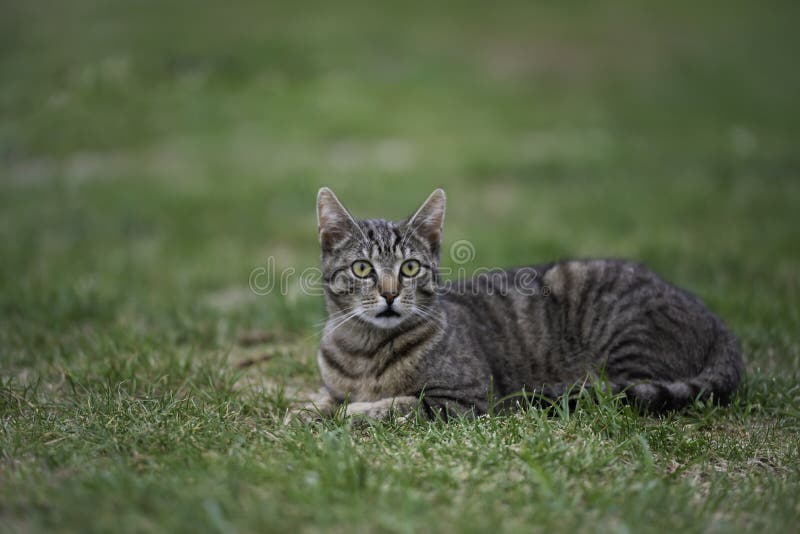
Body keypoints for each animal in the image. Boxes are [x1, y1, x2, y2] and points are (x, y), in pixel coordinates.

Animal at [296, 188, 748, 422]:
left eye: (409, 268)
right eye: (362, 268)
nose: (390, 293)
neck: (365, 349)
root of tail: (720, 326)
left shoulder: (465, 400)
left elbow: (400, 405)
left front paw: (355, 411)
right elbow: (325, 398)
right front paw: (308, 409)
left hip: (622, 354)